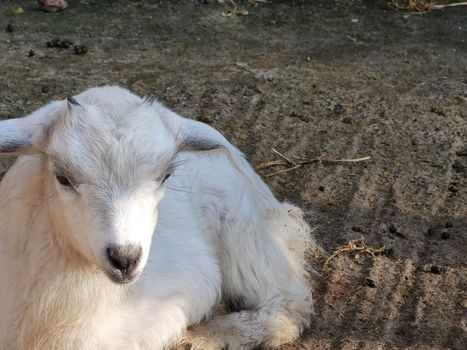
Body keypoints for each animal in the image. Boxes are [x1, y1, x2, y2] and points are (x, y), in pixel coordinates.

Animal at [0, 87, 314, 350]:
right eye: (62, 178)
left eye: (166, 176)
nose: (125, 258)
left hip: (244, 230)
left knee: (286, 302)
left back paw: (207, 336)